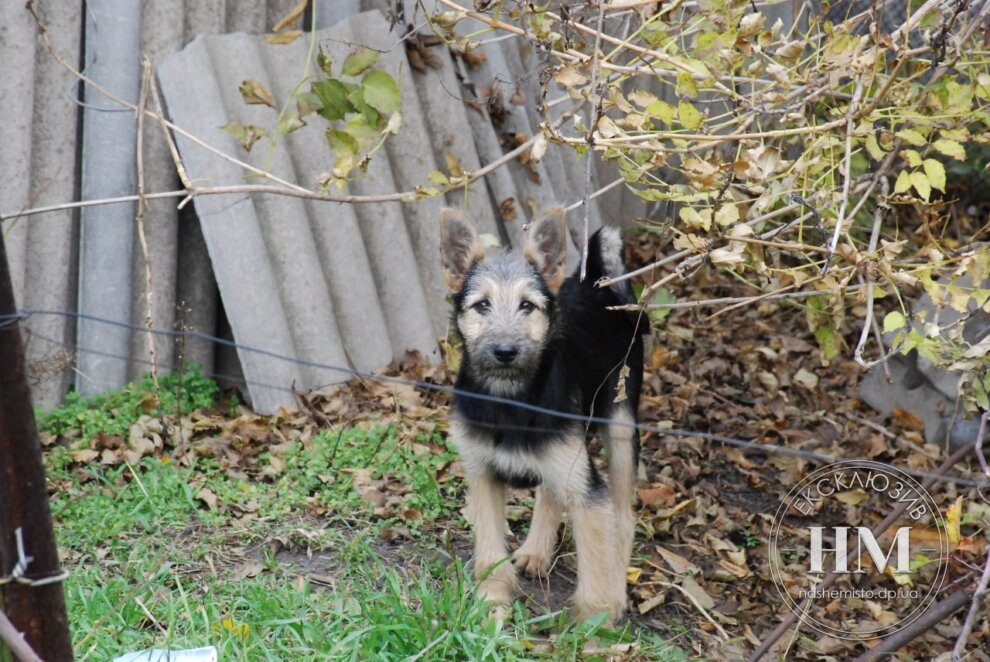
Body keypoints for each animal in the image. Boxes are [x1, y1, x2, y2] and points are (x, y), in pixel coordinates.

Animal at [440, 208, 644, 624]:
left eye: (527, 306)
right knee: (550, 490)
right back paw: (536, 550)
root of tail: (597, 282)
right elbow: (489, 549)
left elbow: (596, 565)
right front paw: (492, 604)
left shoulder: (588, 493)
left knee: (623, 518)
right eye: (482, 305)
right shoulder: (482, 474)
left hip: (620, 425)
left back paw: (618, 588)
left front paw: (598, 626)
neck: (511, 400)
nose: (505, 351)